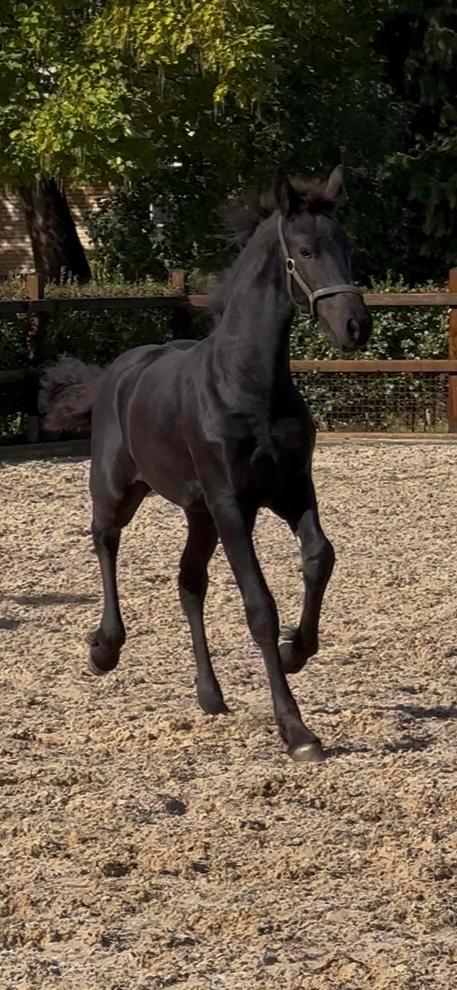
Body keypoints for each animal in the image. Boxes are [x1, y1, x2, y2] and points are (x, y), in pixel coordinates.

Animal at [41, 166, 372, 763]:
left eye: (347, 246)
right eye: (306, 251)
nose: (357, 327)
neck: (249, 386)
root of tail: (114, 374)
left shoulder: (291, 489)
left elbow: (320, 556)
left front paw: (296, 650)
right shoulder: (233, 504)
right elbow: (259, 606)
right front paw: (297, 732)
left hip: (199, 514)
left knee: (189, 581)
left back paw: (209, 694)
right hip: (119, 488)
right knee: (104, 539)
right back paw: (105, 648)